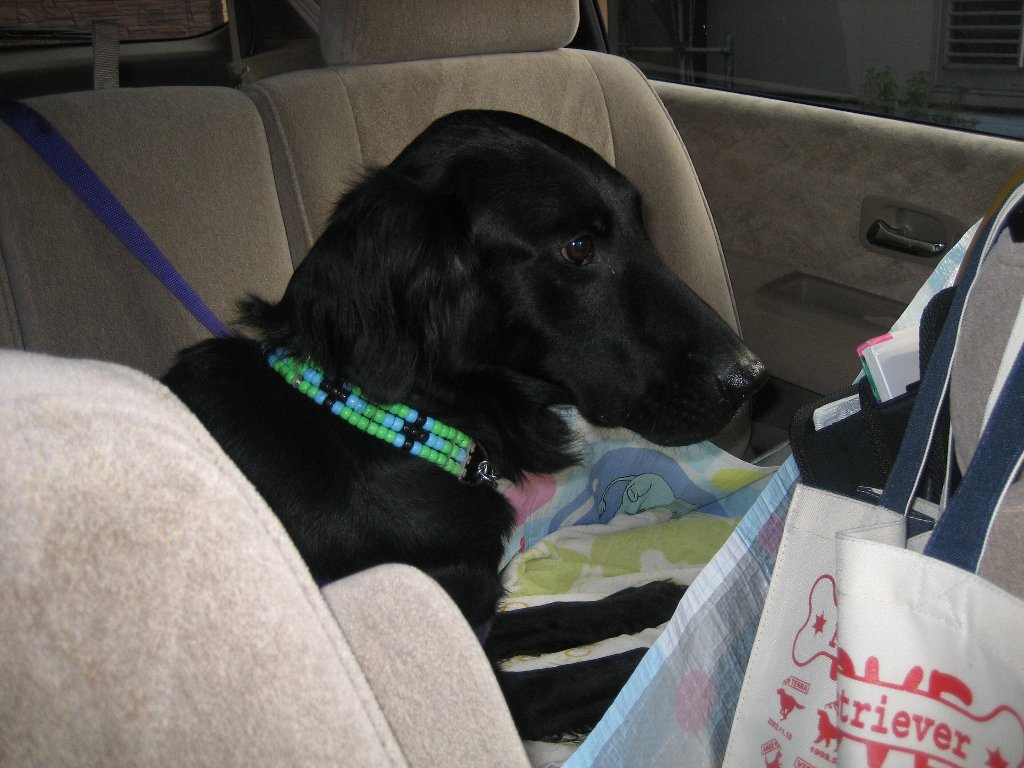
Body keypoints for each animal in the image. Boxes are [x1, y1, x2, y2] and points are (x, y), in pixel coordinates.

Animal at [163, 110, 766, 740]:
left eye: (640, 226)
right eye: (578, 248)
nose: (751, 378)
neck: (382, 425)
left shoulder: (477, 610)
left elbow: (559, 614)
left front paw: (644, 600)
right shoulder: (479, 680)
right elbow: (611, 672)